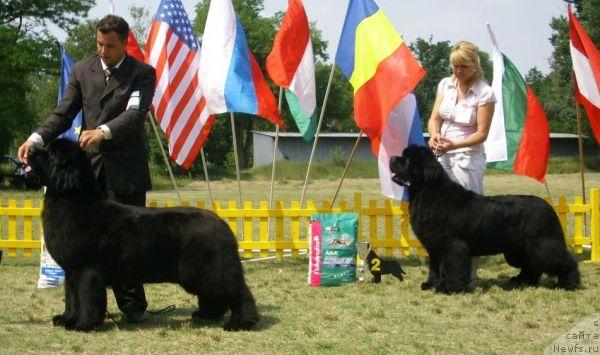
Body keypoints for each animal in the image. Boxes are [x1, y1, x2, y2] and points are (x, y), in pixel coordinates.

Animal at [27, 138, 258, 330]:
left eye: (50, 154)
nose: (29, 150)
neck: (73, 201)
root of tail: (222, 224)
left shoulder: (86, 270)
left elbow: (85, 299)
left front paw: (83, 324)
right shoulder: (71, 272)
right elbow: (71, 298)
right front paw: (66, 319)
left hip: (212, 270)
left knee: (238, 292)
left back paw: (241, 322)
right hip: (198, 275)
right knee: (214, 295)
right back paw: (206, 315)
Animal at [390, 145, 580, 294]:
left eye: (407, 159)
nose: (392, 157)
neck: (426, 192)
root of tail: (549, 207)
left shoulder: (453, 245)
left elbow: (452, 268)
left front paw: (449, 289)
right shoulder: (435, 247)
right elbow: (434, 268)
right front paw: (430, 285)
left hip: (542, 245)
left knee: (564, 261)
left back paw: (568, 284)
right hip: (519, 249)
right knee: (531, 265)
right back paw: (522, 281)